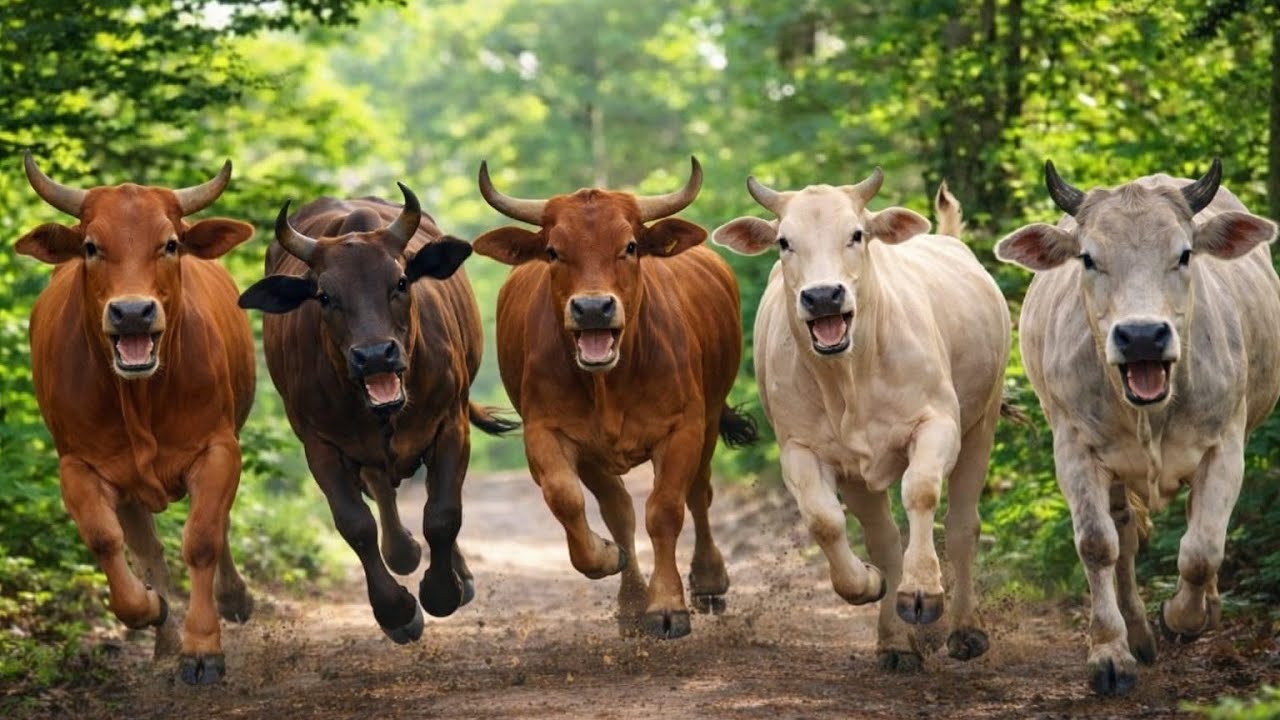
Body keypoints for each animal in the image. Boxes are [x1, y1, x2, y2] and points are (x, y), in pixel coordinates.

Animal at [15, 152, 257, 684]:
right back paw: (163, 639)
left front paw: (202, 649)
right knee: (148, 550)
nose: (130, 313)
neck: (141, 396)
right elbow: (107, 542)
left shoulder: (219, 449)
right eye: (90, 246)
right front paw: (152, 610)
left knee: (216, 527)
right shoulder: (80, 466)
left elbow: (203, 538)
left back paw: (232, 598)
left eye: (170, 244)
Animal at [238, 183, 516, 643]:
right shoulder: (319, 444)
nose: (373, 356)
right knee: (381, 491)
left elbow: (443, 513)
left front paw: (442, 591)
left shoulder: (451, 423)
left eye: (400, 282)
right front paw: (397, 611)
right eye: (325, 296)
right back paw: (403, 552)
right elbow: (356, 524)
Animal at [472, 157, 757, 639]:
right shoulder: (547, 434)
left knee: (698, 493)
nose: (592, 309)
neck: (610, 383)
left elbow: (665, 510)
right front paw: (608, 560)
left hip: (712, 416)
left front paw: (668, 606)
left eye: (629, 246)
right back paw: (630, 602)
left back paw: (708, 580)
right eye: (553, 251)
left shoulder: (684, 428)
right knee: (618, 510)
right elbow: (568, 500)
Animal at [713, 169, 1011, 671]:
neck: (851, 375)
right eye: (784, 242)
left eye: (856, 234)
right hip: (860, 476)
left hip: (981, 424)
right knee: (883, 539)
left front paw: (922, 590)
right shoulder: (803, 450)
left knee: (962, 526)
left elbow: (921, 491)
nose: (822, 296)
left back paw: (966, 630)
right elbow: (824, 521)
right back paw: (896, 642)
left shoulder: (939, 424)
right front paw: (869, 585)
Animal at [995, 160, 1280, 695]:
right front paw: (1110, 652)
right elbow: (1097, 545)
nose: (1142, 335)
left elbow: (1201, 549)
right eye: (1088, 259)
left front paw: (1184, 616)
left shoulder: (1226, 446)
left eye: (1184, 254)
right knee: (1123, 536)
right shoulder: (1075, 448)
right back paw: (1137, 634)